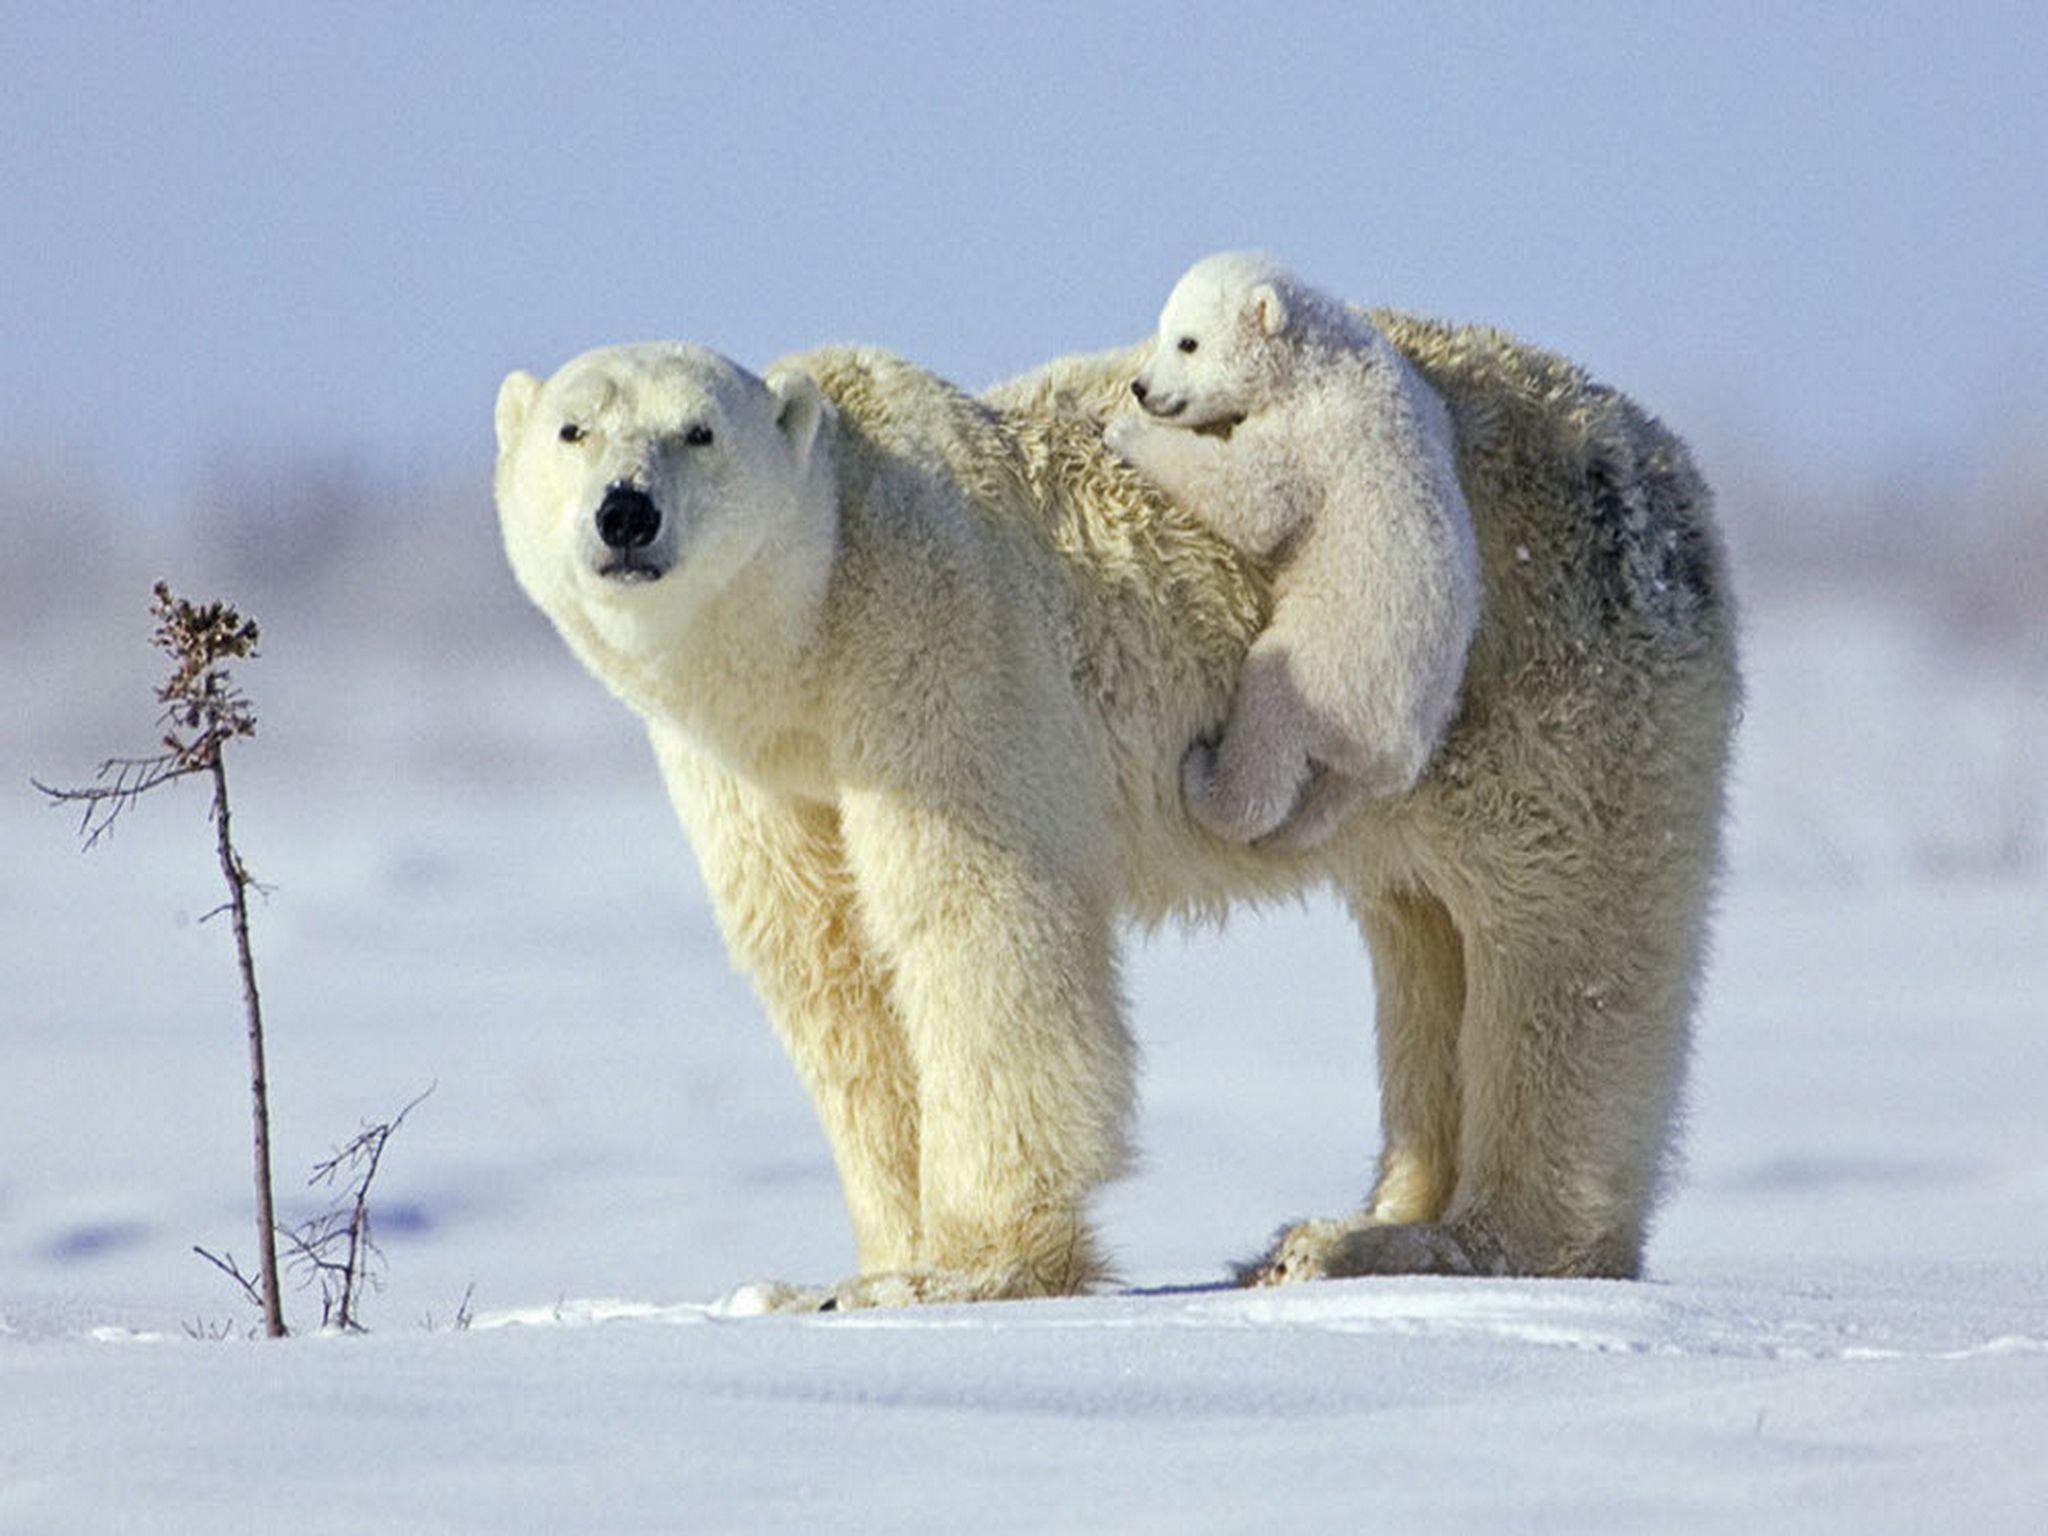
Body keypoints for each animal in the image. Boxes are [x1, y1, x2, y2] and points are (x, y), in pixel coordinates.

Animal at [493, 313, 1737, 1309]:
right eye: (572, 431)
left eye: (698, 431)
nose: (625, 514)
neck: (814, 623)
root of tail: (1661, 457)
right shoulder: (754, 775)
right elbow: (828, 969)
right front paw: (861, 1264)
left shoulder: (939, 644)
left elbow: (976, 931)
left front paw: (962, 1271)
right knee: (1422, 933)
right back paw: (1345, 1228)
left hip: (1546, 669)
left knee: (1558, 946)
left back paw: (1464, 1239)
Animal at [1103, 251, 1481, 850]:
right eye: (1162, 330)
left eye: (1188, 342)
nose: (1141, 387)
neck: (1319, 361)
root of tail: (1397, 754)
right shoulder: (1416, 391)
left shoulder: (1311, 432)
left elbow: (1252, 498)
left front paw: (1125, 433)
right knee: (1328, 798)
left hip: (1329, 670)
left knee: (1268, 720)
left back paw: (1205, 780)